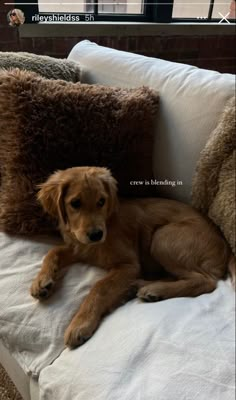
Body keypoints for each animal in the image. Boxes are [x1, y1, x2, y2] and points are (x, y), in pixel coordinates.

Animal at [30, 166, 235, 346]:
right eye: (75, 203)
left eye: (101, 201)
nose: (96, 234)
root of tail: (225, 244)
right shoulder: (80, 248)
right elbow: (53, 251)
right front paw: (41, 281)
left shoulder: (128, 265)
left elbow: (100, 286)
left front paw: (81, 324)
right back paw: (139, 286)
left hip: (162, 238)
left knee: (205, 281)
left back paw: (154, 289)